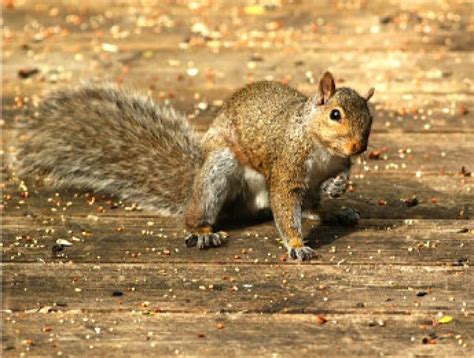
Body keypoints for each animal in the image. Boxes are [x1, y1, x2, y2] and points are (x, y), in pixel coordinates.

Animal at [17, 71, 374, 262]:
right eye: (335, 114)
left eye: (370, 118)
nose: (359, 147)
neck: (322, 147)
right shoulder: (287, 166)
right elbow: (286, 207)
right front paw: (298, 247)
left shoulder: (335, 162)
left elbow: (342, 171)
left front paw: (339, 184)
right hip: (219, 171)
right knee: (199, 212)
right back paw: (203, 232)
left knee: (312, 205)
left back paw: (336, 211)